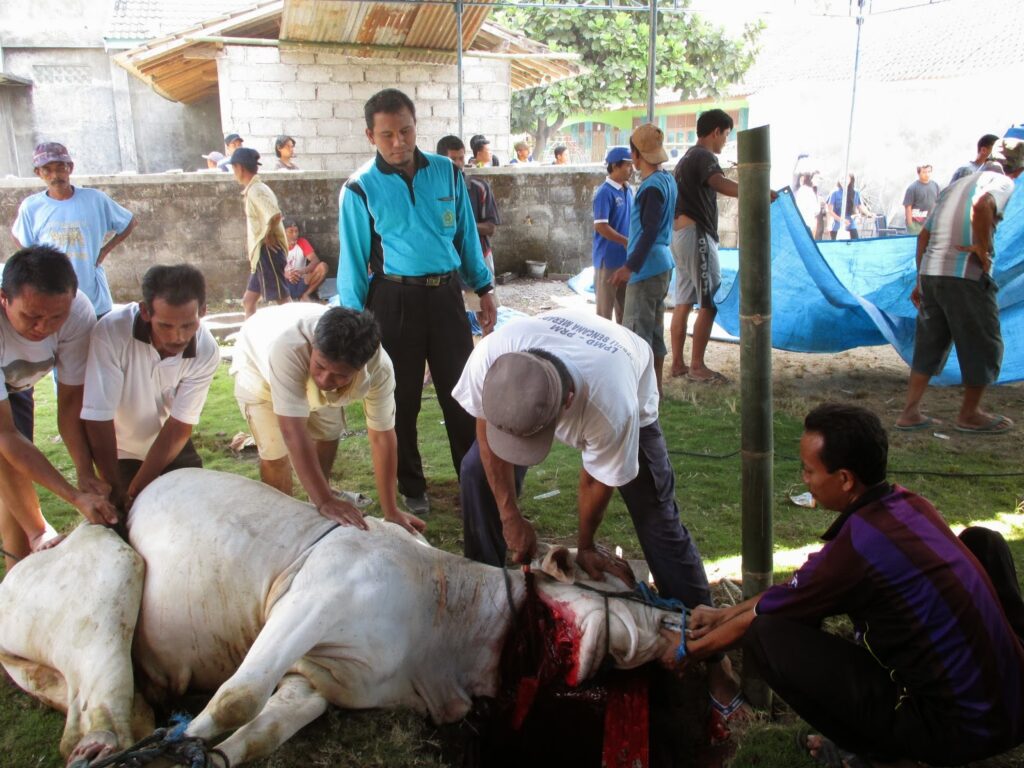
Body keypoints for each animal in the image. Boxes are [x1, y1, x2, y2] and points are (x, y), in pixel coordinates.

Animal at [2, 473, 688, 765]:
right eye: (629, 582)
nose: (682, 632)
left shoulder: (320, 682)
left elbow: (257, 732)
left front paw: (206, 755)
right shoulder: (317, 595)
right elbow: (235, 697)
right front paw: (178, 751)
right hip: (115, 568)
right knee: (103, 718)